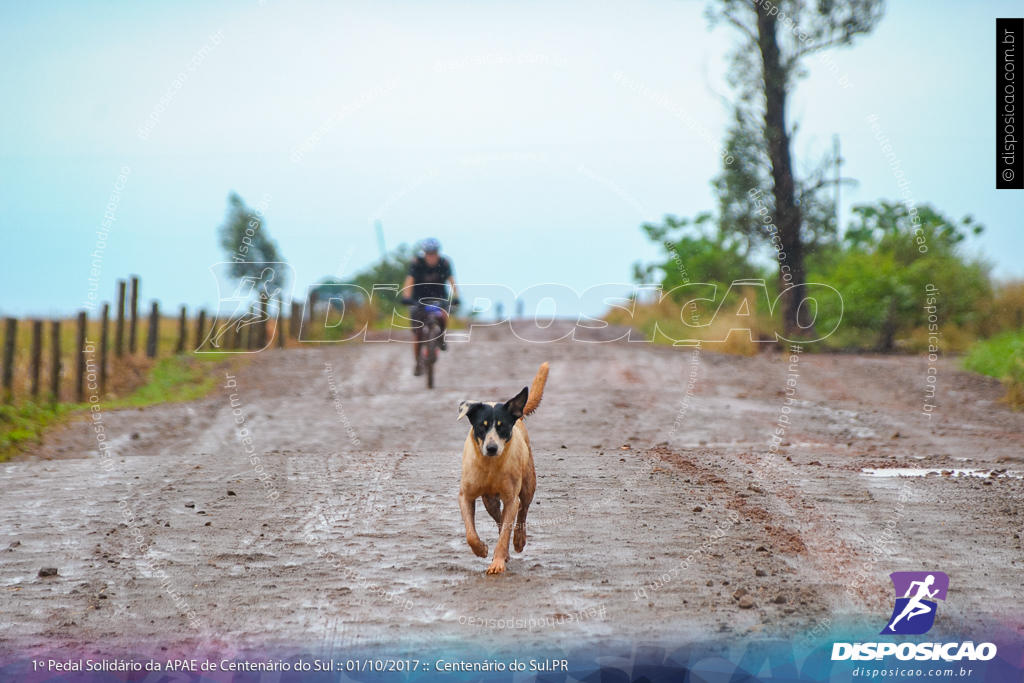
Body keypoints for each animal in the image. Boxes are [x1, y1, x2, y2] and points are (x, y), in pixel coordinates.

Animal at [458, 362, 548, 577]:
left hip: (528, 483)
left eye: (502, 426)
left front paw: (497, 563)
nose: (491, 448)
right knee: (499, 518)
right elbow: (471, 533)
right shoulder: (466, 495)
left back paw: (518, 540)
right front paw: (481, 549)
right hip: (489, 500)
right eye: (481, 426)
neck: (491, 466)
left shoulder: (510, 496)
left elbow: (508, 527)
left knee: (522, 509)